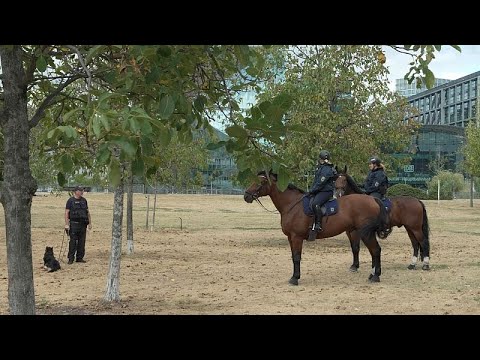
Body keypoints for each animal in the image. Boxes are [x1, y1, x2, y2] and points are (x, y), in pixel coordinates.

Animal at [244, 170, 390, 286]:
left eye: (261, 182)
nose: (246, 196)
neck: (292, 205)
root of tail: (373, 199)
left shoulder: (296, 237)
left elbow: (296, 257)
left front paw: (295, 278)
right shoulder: (291, 238)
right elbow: (293, 256)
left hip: (366, 233)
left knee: (375, 250)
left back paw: (376, 276)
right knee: (373, 251)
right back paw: (372, 274)